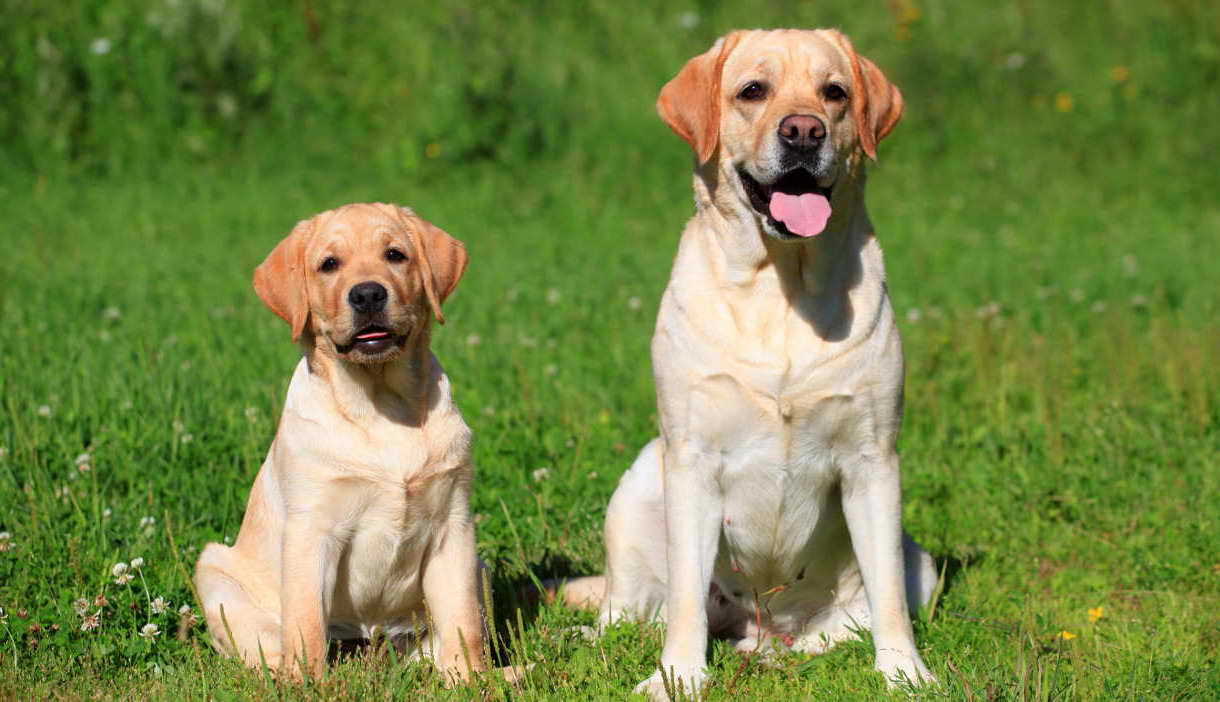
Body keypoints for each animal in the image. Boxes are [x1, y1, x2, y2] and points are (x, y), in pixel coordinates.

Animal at [192, 201, 483, 683]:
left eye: (395, 255)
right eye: (329, 264)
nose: (367, 295)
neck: (381, 403)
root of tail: (370, 639)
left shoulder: (453, 528)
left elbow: (463, 621)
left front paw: (473, 680)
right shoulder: (313, 530)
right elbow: (306, 622)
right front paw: (308, 684)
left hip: (477, 567)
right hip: (215, 570)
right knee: (266, 642)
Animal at [558, 28, 936, 698]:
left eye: (835, 92)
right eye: (752, 90)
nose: (804, 131)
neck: (779, 288)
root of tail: (763, 625)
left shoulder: (872, 460)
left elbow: (888, 591)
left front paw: (904, 673)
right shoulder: (691, 459)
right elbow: (684, 600)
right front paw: (677, 677)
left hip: (924, 563)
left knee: (844, 624)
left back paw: (779, 654)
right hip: (638, 488)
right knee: (624, 613)